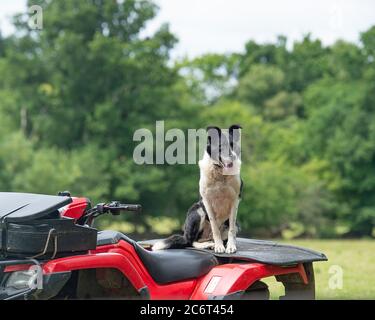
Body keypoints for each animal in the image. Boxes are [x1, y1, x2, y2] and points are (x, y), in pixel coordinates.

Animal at [153, 124, 244, 252]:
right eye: (222, 146)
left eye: (234, 145)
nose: (233, 157)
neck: (220, 175)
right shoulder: (207, 201)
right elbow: (214, 227)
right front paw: (219, 247)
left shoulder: (235, 199)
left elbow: (231, 228)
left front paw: (230, 246)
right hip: (197, 211)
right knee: (191, 241)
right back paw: (210, 244)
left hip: (236, 225)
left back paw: (213, 243)